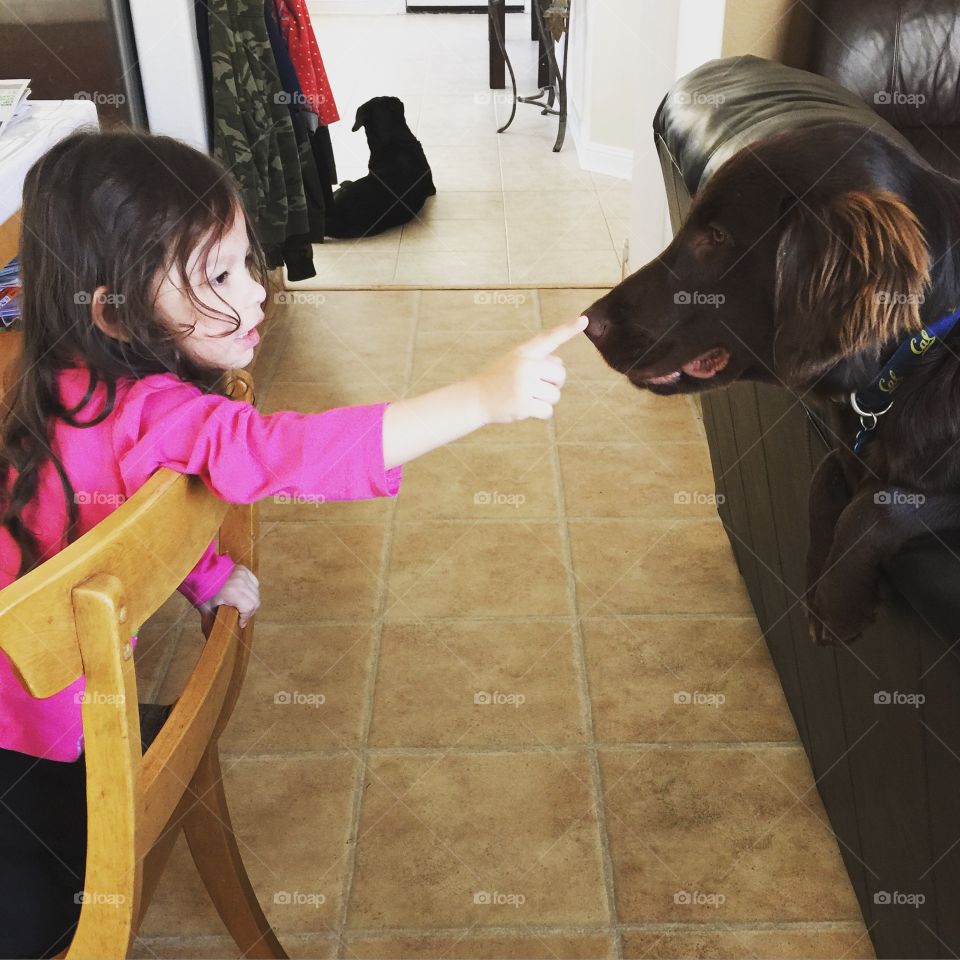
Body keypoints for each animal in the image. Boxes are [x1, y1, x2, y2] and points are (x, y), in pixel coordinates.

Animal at [576, 122, 960, 644]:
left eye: (716, 236)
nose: (588, 324)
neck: (922, 359)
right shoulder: (844, 449)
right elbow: (824, 478)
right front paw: (816, 585)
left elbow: (880, 503)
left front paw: (839, 602)